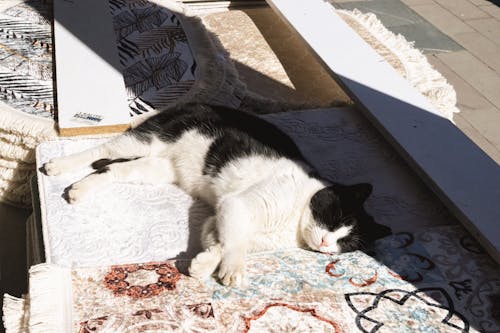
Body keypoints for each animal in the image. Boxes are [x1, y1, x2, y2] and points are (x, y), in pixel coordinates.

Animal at [44, 103, 390, 286]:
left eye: (347, 242)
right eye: (334, 218)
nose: (326, 243)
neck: (292, 225)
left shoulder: (222, 216)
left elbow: (220, 240)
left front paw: (204, 263)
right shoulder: (239, 205)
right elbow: (234, 245)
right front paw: (233, 270)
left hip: (158, 169)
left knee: (113, 171)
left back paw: (81, 190)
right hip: (147, 140)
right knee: (99, 151)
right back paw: (57, 166)